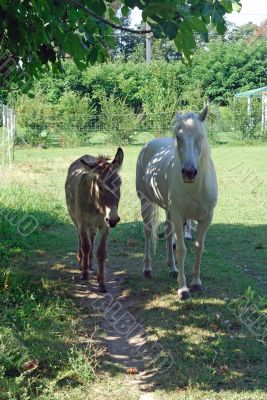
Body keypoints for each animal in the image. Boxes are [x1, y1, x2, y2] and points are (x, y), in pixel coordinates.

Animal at [136, 106, 218, 300]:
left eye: (200, 137)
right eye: (178, 138)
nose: (189, 172)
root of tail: (148, 145)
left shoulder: (206, 218)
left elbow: (198, 247)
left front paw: (196, 282)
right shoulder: (179, 217)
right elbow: (181, 249)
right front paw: (183, 288)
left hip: (168, 211)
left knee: (167, 232)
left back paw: (172, 268)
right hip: (145, 202)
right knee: (148, 232)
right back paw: (147, 269)